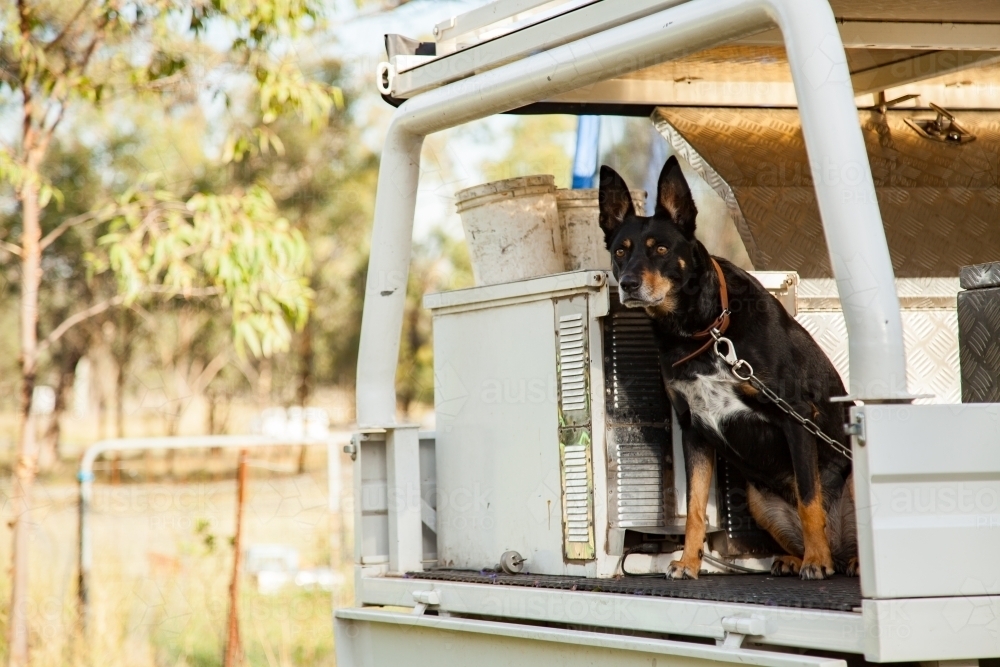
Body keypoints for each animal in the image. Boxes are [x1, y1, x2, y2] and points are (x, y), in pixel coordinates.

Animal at [596, 158, 856, 580]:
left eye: (661, 249)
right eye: (621, 251)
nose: (629, 284)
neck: (703, 329)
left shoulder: (796, 416)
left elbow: (809, 500)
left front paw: (816, 562)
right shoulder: (694, 430)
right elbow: (695, 511)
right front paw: (688, 563)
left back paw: (836, 558)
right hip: (758, 502)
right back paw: (797, 558)